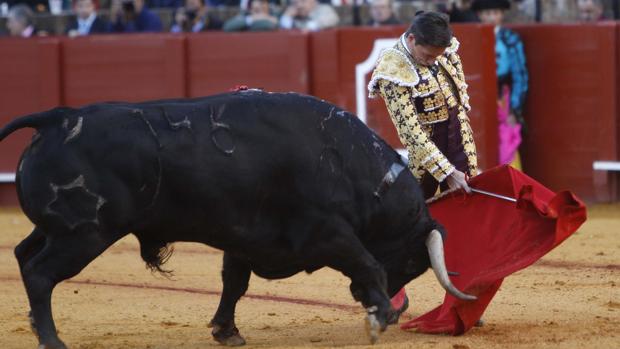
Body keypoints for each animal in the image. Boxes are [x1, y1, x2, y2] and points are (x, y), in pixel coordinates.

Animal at [0, 90, 474, 348]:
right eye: (413, 261)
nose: (374, 300)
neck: (348, 163)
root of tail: (58, 117)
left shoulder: (244, 238)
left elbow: (234, 283)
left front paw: (226, 331)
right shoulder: (327, 232)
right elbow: (367, 261)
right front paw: (380, 319)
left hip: (58, 230)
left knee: (23, 256)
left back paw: (37, 327)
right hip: (83, 234)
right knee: (40, 273)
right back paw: (52, 339)